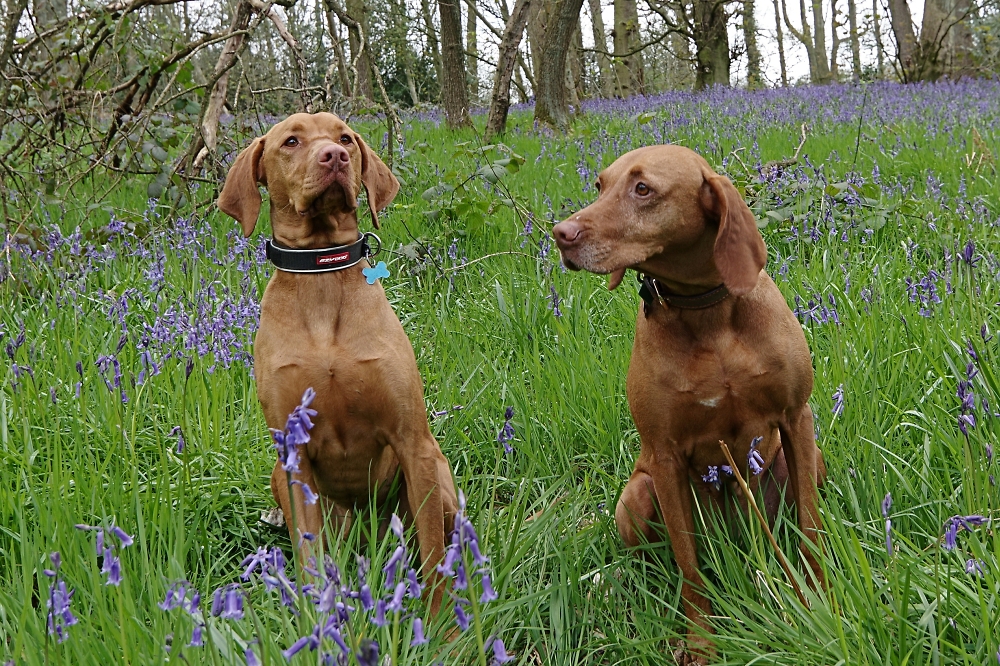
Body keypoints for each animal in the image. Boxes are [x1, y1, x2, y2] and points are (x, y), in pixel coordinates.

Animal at [219, 113, 458, 608]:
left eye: (345, 137)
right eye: (291, 141)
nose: (336, 157)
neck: (322, 271)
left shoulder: (413, 441)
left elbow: (431, 555)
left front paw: (442, 621)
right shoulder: (294, 457)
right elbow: (309, 562)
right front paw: (318, 617)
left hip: (437, 472)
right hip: (281, 476)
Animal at [552, 144, 824, 660]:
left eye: (643, 189)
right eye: (600, 185)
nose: (561, 234)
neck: (708, 313)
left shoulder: (796, 418)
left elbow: (811, 531)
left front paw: (819, 603)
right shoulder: (664, 456)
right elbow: (690, 567)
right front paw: (702, 645)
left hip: (809, 460)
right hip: (637, 495)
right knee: (654, 559)